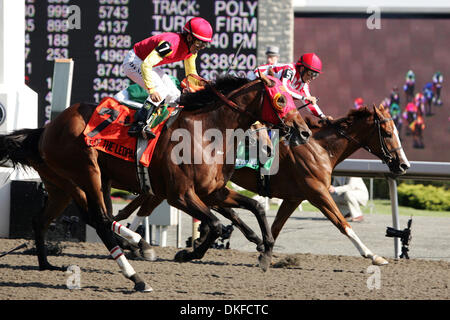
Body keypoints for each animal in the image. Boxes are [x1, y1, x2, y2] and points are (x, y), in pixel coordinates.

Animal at [0, 74, 310, 292]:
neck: (207, 132)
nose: (304, 131)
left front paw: (265, 251)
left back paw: (47, 264)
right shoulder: (180, 195)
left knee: (46, 220)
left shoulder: (213, 192)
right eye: (281, 100)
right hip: (87, 173)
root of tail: (46, 129)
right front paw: (188, 253)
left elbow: (254, 207)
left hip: (64, 186)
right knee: (100, 219)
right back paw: (136, 274)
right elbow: (214, 224)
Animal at [117, 104, 412, 264]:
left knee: (145, 205)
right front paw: (373, 255)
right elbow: (343, 224)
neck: (318, 147)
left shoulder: (294, 198)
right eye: (388, 133)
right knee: (143, 207)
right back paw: (133, 242)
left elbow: (276, 227)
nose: (404, 165)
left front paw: (266, 251)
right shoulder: (317, 192)